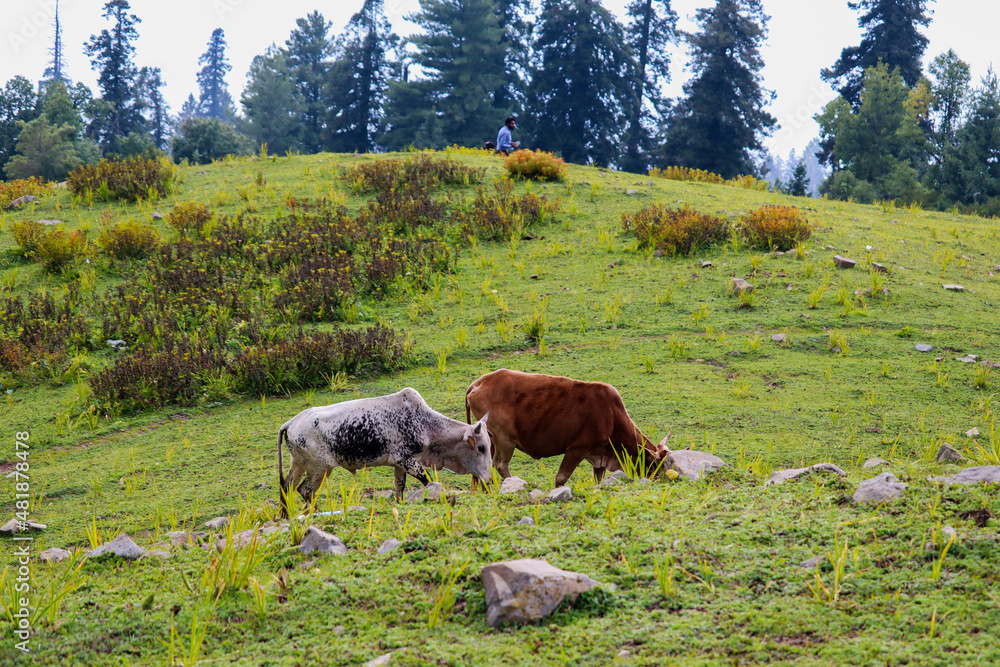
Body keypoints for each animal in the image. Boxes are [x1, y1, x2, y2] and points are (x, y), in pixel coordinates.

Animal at [278, 388, 491, 516]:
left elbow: (399, 488)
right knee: (305, 490)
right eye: (481, 447)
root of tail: (290, 423)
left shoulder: (400, 464)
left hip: (299, 466)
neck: (424, 423)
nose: (489, 480)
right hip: (320, 469)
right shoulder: (406, 460)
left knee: (287, 487)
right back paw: (315, 513)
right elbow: (428, 481)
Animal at [465, 369, 669, 487]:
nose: (659, 479)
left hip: (490, 440)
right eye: (655, 464)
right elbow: (561, 478)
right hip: (504, 440)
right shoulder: (577, 449)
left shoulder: (598, 457)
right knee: (501, 465)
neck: (611, 415)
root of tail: (479, 383)